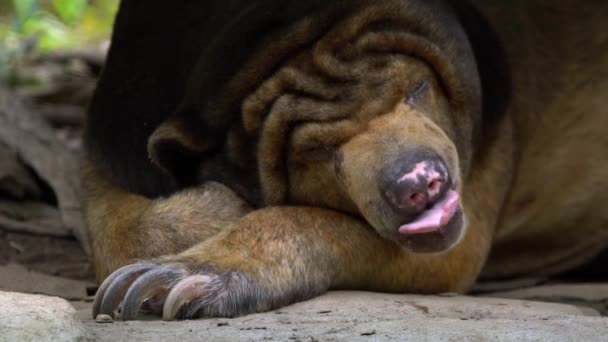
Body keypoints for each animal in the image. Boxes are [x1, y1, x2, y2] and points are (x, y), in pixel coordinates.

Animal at [84, 0, 608, 320]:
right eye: (319, 155)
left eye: (417, 89)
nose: (420, 181)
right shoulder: (121, 108)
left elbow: (449, 255)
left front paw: (167, 282)